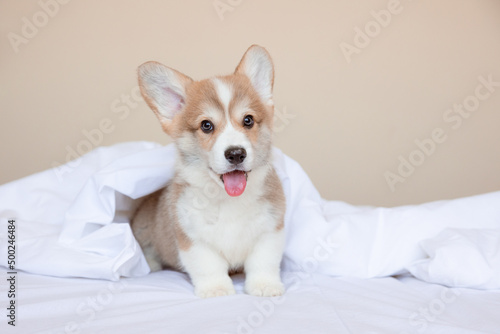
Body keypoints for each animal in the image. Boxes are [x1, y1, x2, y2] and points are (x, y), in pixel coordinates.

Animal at [131, 45, 288, 298]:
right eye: (206, 125)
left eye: (248, 120)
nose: (236, 153)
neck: (228, 200)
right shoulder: (193, 239)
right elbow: (208, 266)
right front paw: (217, 290)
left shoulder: (270, 231)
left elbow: (263, 262)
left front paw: (265, 286)